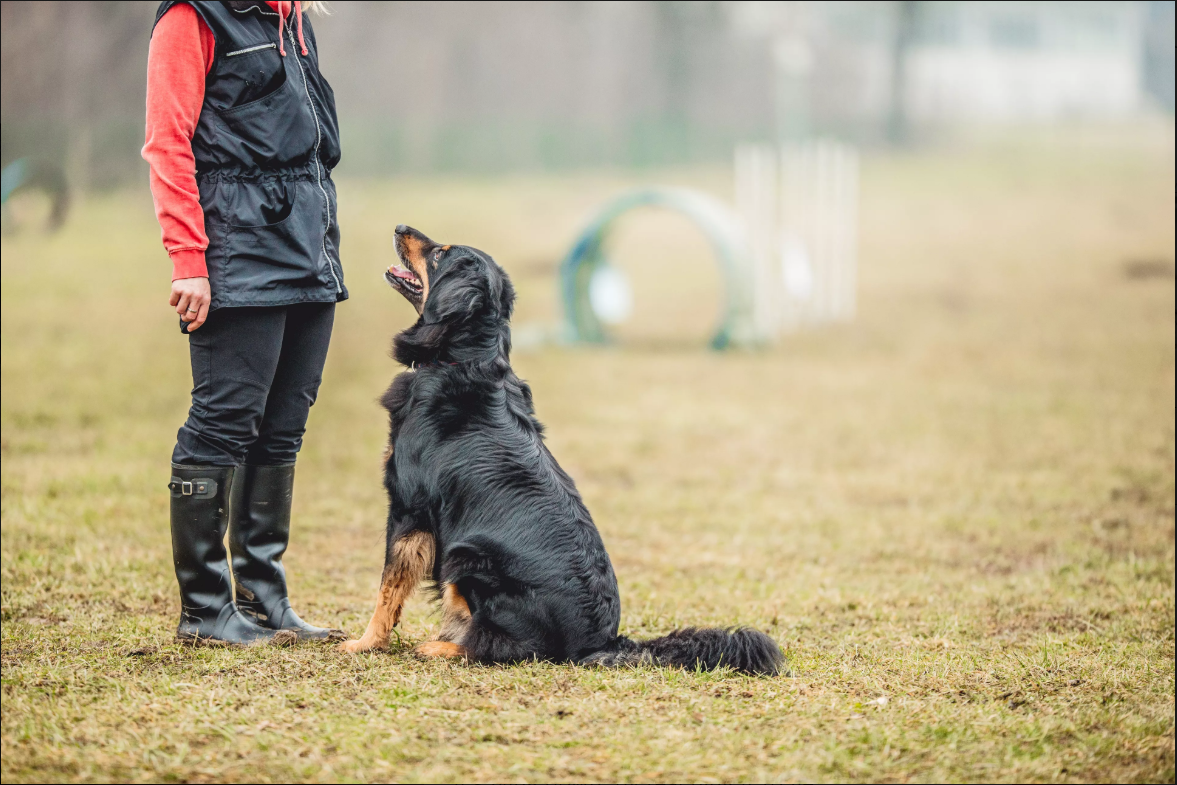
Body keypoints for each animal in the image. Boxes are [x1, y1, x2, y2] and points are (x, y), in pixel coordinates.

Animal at [338, 222, 781, 677]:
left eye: (440, 253)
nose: (400, 227)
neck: (464, 359)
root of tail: (600, 642)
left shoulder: (408, 508)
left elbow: (388, 588)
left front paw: (365, 643)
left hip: (466, 558)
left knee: (503, 646)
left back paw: (441, 647)